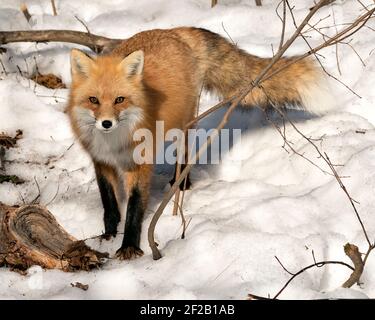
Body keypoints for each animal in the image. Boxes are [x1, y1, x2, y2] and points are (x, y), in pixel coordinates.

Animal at [66, 26, 334, 258]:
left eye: (120, 100)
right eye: (93, 100)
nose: (106, 123)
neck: (113, 141)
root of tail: (172, 31)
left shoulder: (140, 163)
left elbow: (134, 207)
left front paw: (130, 246)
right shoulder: (101, 161)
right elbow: (109, 203)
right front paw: (108, 235)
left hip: (185, 124)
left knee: (185, 152)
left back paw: (181, 183)